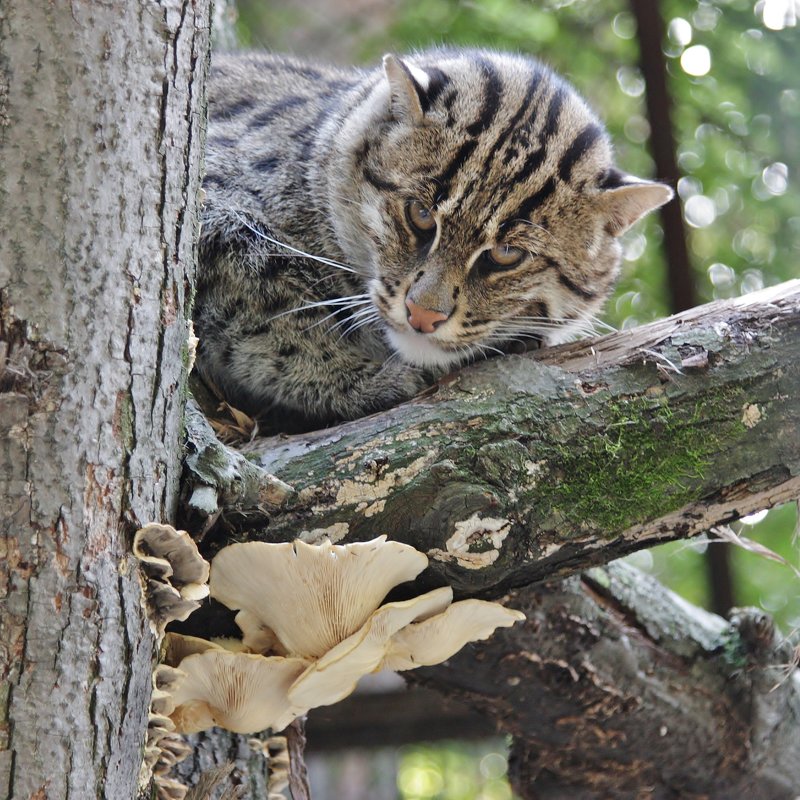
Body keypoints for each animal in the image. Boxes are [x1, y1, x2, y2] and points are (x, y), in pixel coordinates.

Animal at [197, 47, 672, 434]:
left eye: (507, 254)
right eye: (421, 214)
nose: (422, 316)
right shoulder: (215, 204)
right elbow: (270, 303)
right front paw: (359, 376)